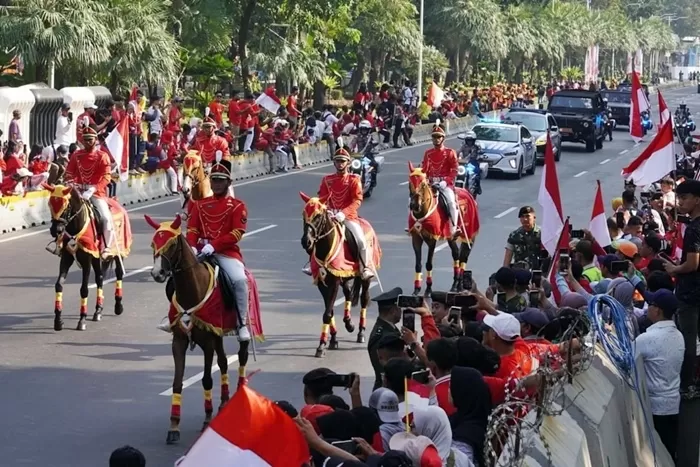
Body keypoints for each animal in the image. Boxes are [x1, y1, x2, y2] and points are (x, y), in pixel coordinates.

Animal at [43, 184, 131, 332]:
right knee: (100, 278)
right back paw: (98, 310)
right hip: (97, 258)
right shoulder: (66, 258)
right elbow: (59, 285)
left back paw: (118, 306)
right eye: (50, 204)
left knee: (118, 273)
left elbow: (84, 289)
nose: (56, 230)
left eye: (65, 206)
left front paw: (82, 320)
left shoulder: (87, 261)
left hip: (118, 252)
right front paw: (58, 321)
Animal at [145, 216, 252, 446]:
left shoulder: (208, 343)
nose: (157, 273)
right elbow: (177, 383)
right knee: (223, 362)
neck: (192, 290)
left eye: (171, 244)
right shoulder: (179, 341)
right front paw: (174, 426)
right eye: (153, 244)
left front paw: (207, 420)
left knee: (241, 355)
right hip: (218, 334)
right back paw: (224, 402)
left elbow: (206, 379)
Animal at [298, 193, 380, 358]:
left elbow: (327, 313)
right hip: (345, 277)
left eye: (318, 216)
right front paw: (332, 339)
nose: (306, 242)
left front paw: (321, 346)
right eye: (304, 215)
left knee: (364, 298)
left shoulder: (334, 282)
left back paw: (361, 332)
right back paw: (349, 323)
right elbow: (329, 311)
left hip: (365, 275)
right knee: (348, 293)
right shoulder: (322, 283)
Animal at [404, 165, 482, 294]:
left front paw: (428, 289)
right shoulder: (416, 238)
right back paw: (455, 284)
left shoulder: (432, 239)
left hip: (470, 234)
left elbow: (429, 263)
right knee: (456, 254)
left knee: (464, 257)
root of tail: (467, 192)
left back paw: (460, 285)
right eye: (410, 182)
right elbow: (418, 264)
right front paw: (416, 289)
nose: (414, 205)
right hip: (451, 237)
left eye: (423, 184)